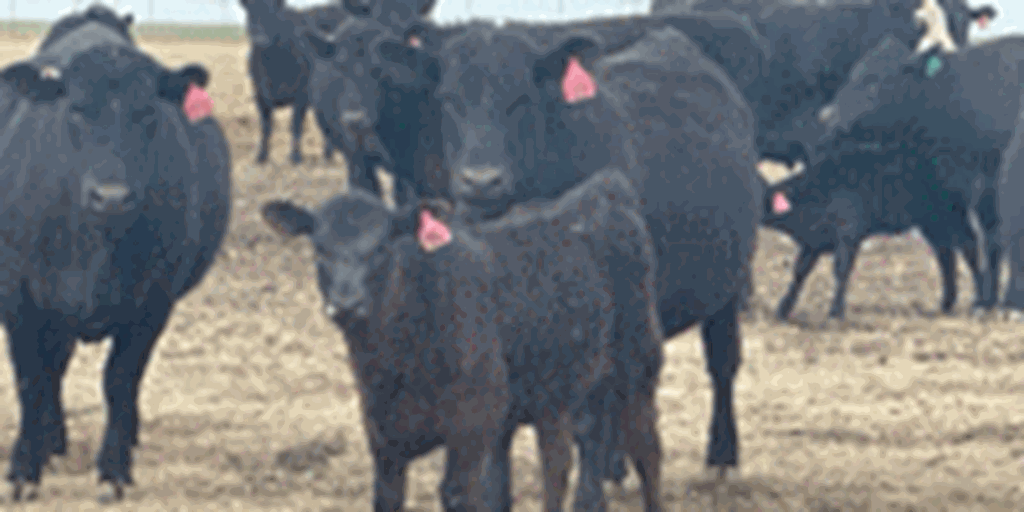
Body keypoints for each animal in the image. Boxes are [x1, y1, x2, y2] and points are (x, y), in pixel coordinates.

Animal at [0, 21, 231, 503]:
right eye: (75, 109)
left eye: (147, 114)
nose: (110, 196)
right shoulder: (18, 297)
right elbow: (31, 378)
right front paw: (24, 469)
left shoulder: (153, 304)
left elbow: (120, 381)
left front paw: (114, 470)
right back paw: (52, 441)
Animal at [261, 168, 664, 511]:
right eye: (319, 249)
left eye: (382, 248)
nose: (346, 305)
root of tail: (601, 190)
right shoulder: (383, 439)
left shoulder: (469, 430)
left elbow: (459, 495)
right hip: (557, 394)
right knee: (561, 461)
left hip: (637, 365)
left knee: (646, 452)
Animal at [759, 151, 984, 321]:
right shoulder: (812, 242)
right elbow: (799, 272)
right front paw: (784, 308)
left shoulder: (848, 236)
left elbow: (841, 270)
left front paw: (835, 311)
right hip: (932, 223)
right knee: (945, 254)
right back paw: (947, 302)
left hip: (952, 216)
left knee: (969, 246)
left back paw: (979, 302)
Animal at [810, 34, 1024, 316]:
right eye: (852, 76)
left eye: (874, 80)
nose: (828, 118)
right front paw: (984, 300)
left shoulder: (990, 184)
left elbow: (995, 239)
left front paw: (992, 301)